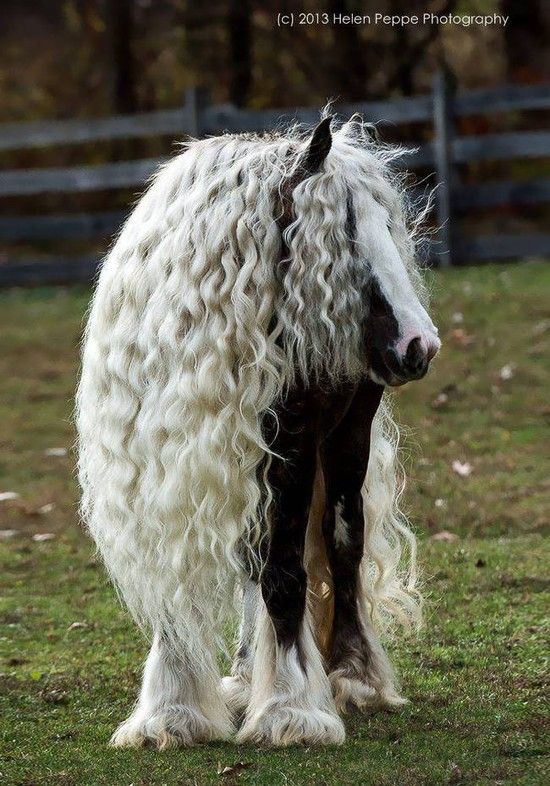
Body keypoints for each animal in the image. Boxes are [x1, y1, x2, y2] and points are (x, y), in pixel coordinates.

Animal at [76, 115, 440, 748]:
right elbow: (188, 577)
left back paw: (352, 677)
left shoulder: (290, 448)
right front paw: (172, 711)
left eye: (387, 227)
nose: (419, 345)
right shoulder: (166, 468)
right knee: (256, 555)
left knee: (342, 544)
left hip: (345, 439)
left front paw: (291, 708)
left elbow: (287, 574)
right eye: (345, 233)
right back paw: (248, 676)